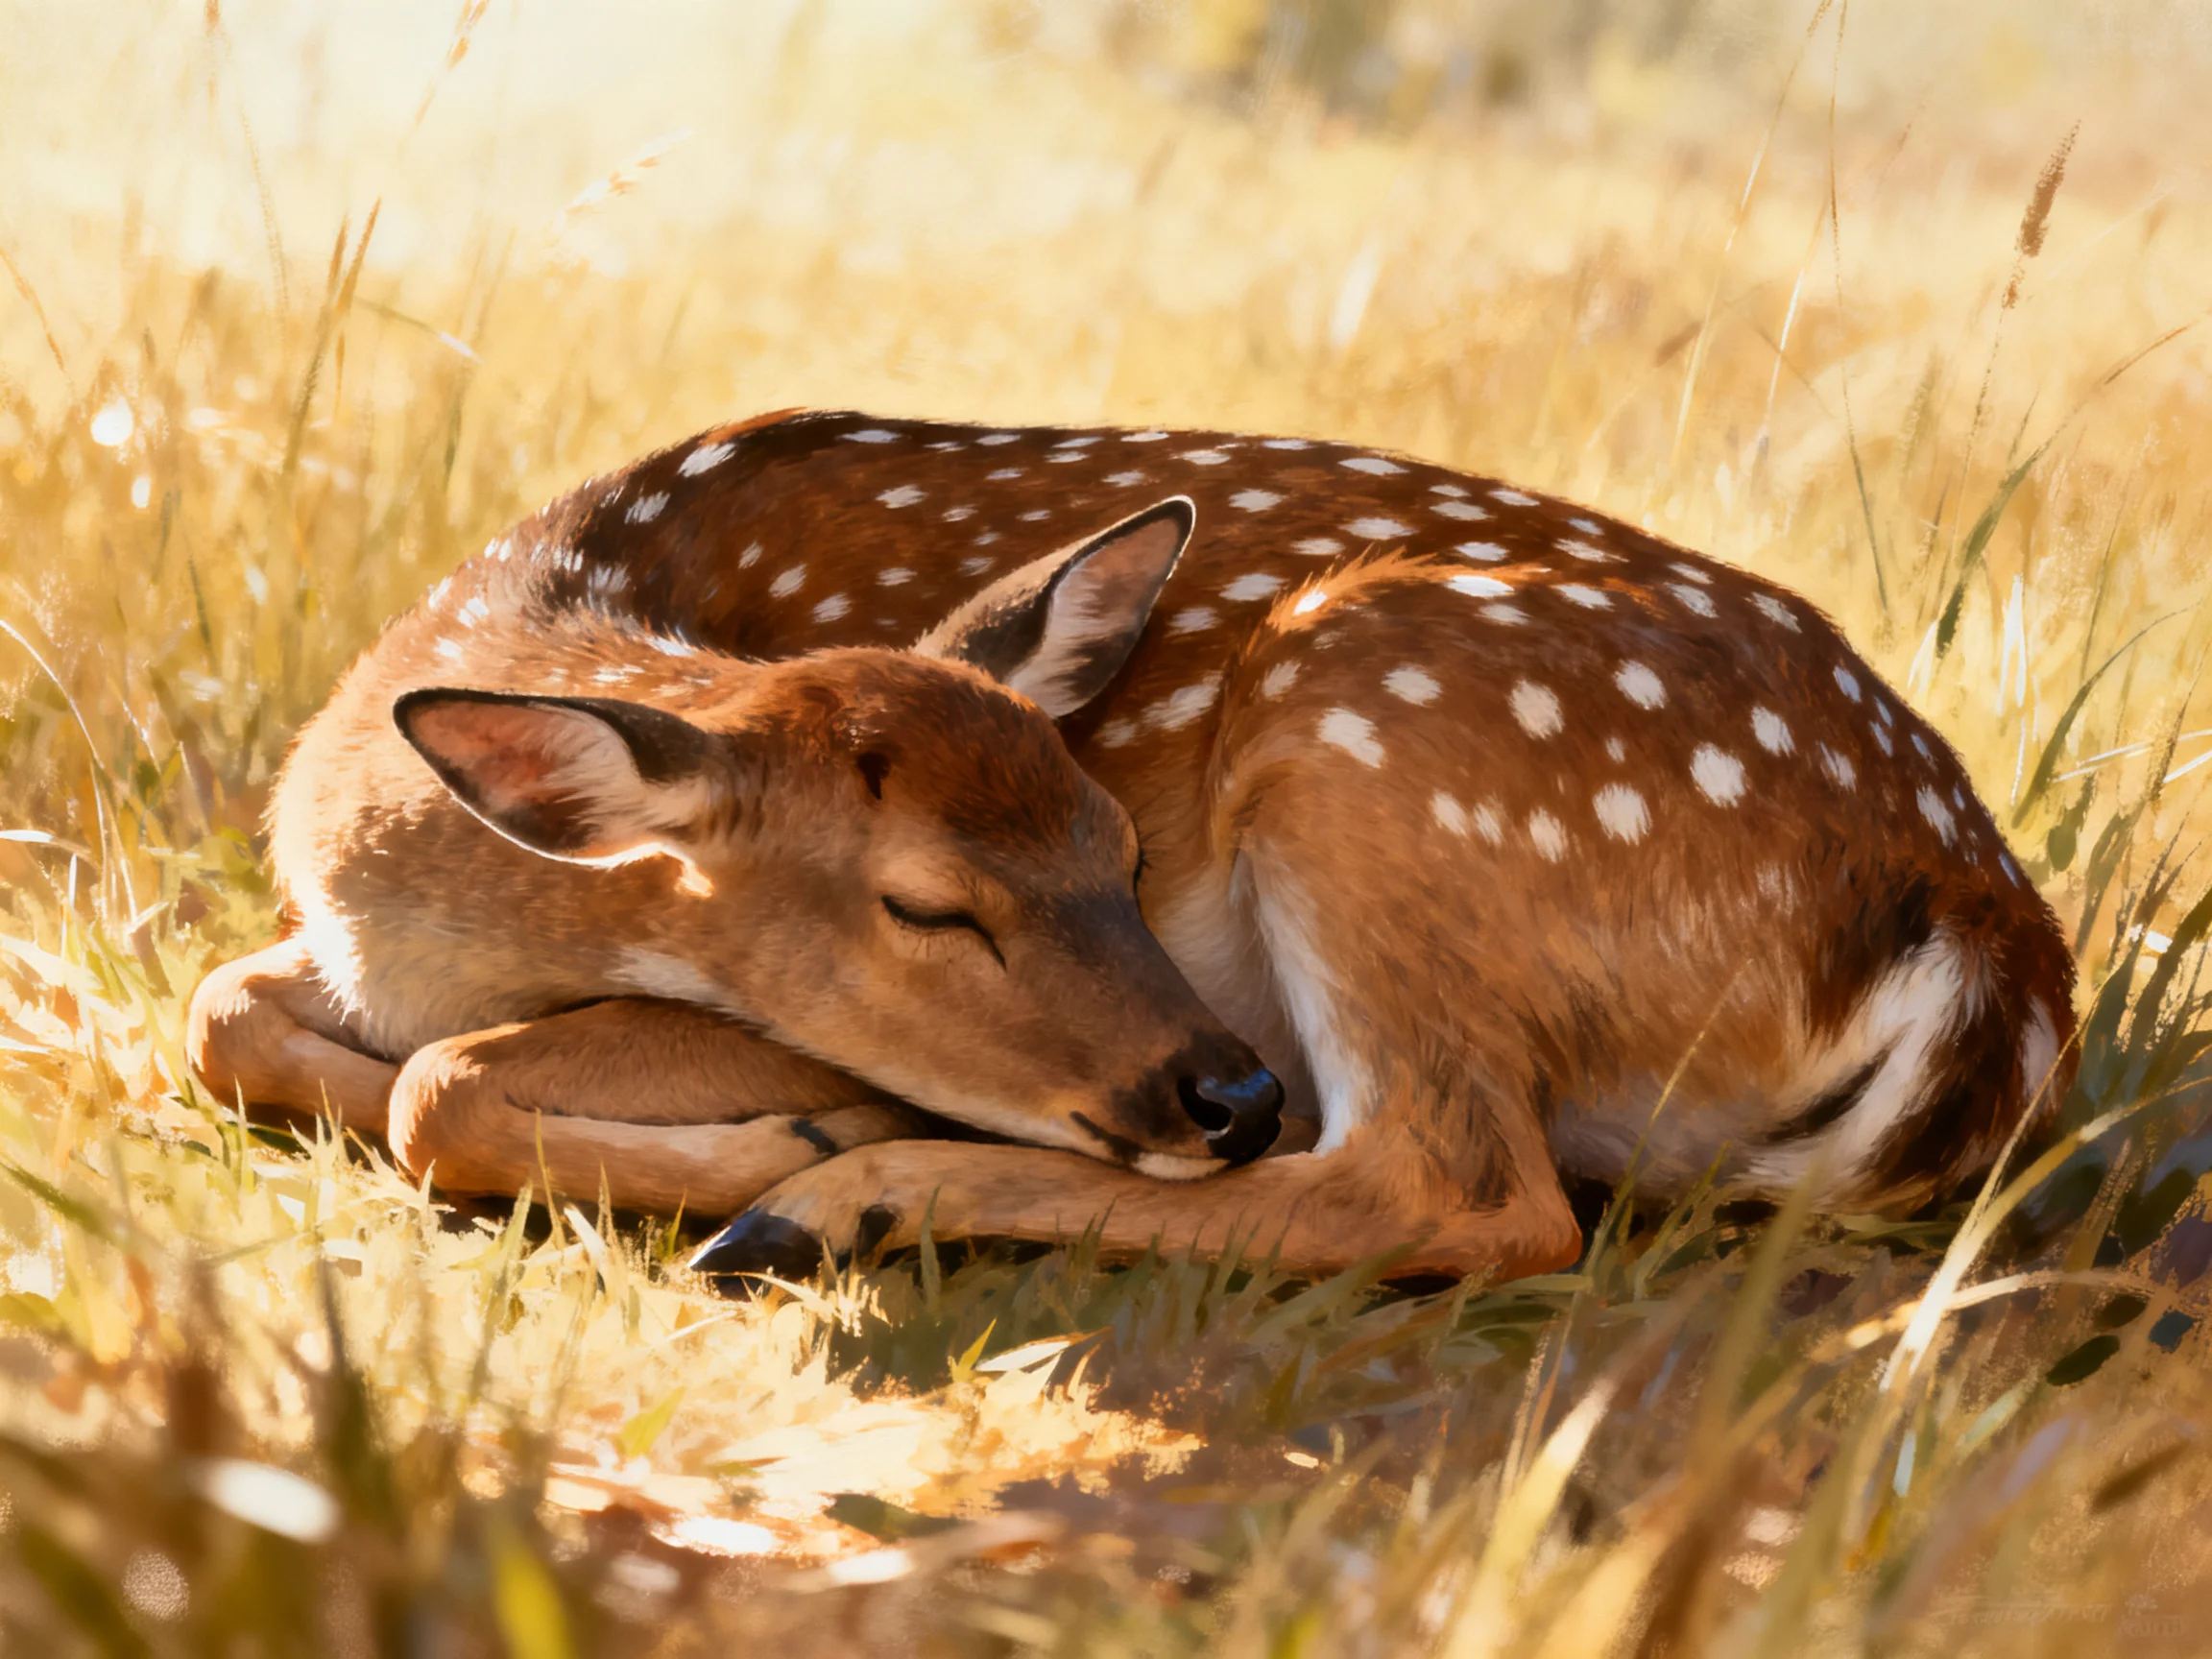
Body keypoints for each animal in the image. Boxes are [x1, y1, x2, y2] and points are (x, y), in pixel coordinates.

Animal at [185, 408, 2076, 1285]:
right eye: (925, 905)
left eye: (1121, 840)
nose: (1225, 1083)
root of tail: (1987, 929)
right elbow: (219, 1012)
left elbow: (446, 1083)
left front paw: (788, 1137)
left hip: (1370, 712)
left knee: (1461, 1184)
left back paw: (825, 1200)